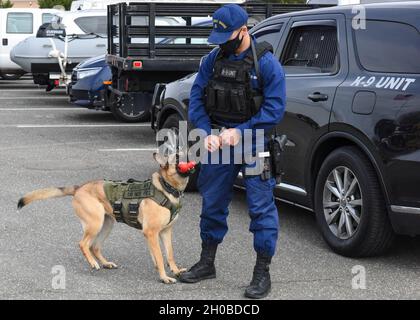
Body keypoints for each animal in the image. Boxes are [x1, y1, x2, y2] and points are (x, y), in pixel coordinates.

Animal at [16, 154, 197, 284]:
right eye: (177, 158)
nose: (190, 154)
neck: (167, 188)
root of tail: (79, 188)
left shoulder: (165, 232)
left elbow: (169, 254)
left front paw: (175, 270)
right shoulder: (151, 233)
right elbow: (160, 256)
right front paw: (164, 277)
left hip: (107, 224)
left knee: (95, 246)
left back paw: (105, 263)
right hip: (95, 224)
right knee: (83, 244)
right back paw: (93, 263)